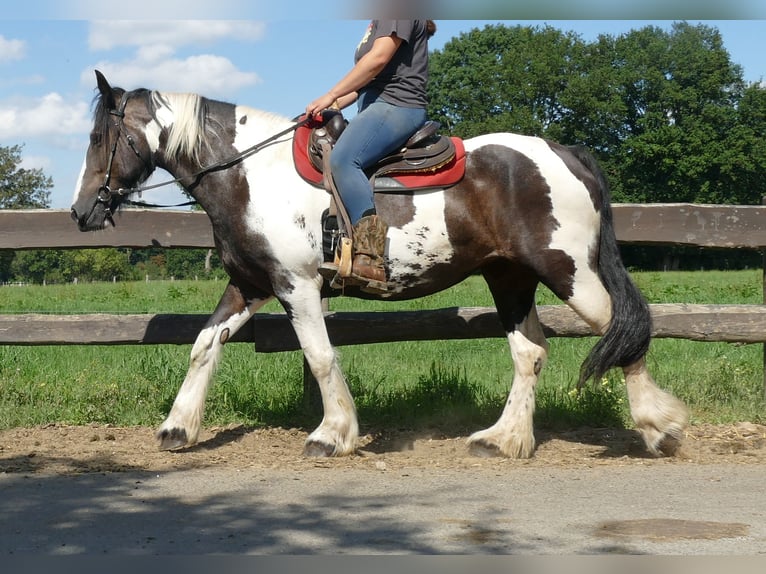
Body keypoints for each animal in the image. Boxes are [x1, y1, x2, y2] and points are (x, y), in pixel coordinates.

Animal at [71, 70, 689, 459]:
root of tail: (563, 152)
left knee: (622, 330)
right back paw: (503, 439)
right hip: (508, 277)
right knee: (530, 353)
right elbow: (204, 345)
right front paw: (178, 427)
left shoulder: (296, 286)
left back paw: (660, 429)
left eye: (101, 136)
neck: (249, 175)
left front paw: (332, 434)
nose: (81, 212)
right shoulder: (250, 284)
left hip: (569, 272)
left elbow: (320, 358)